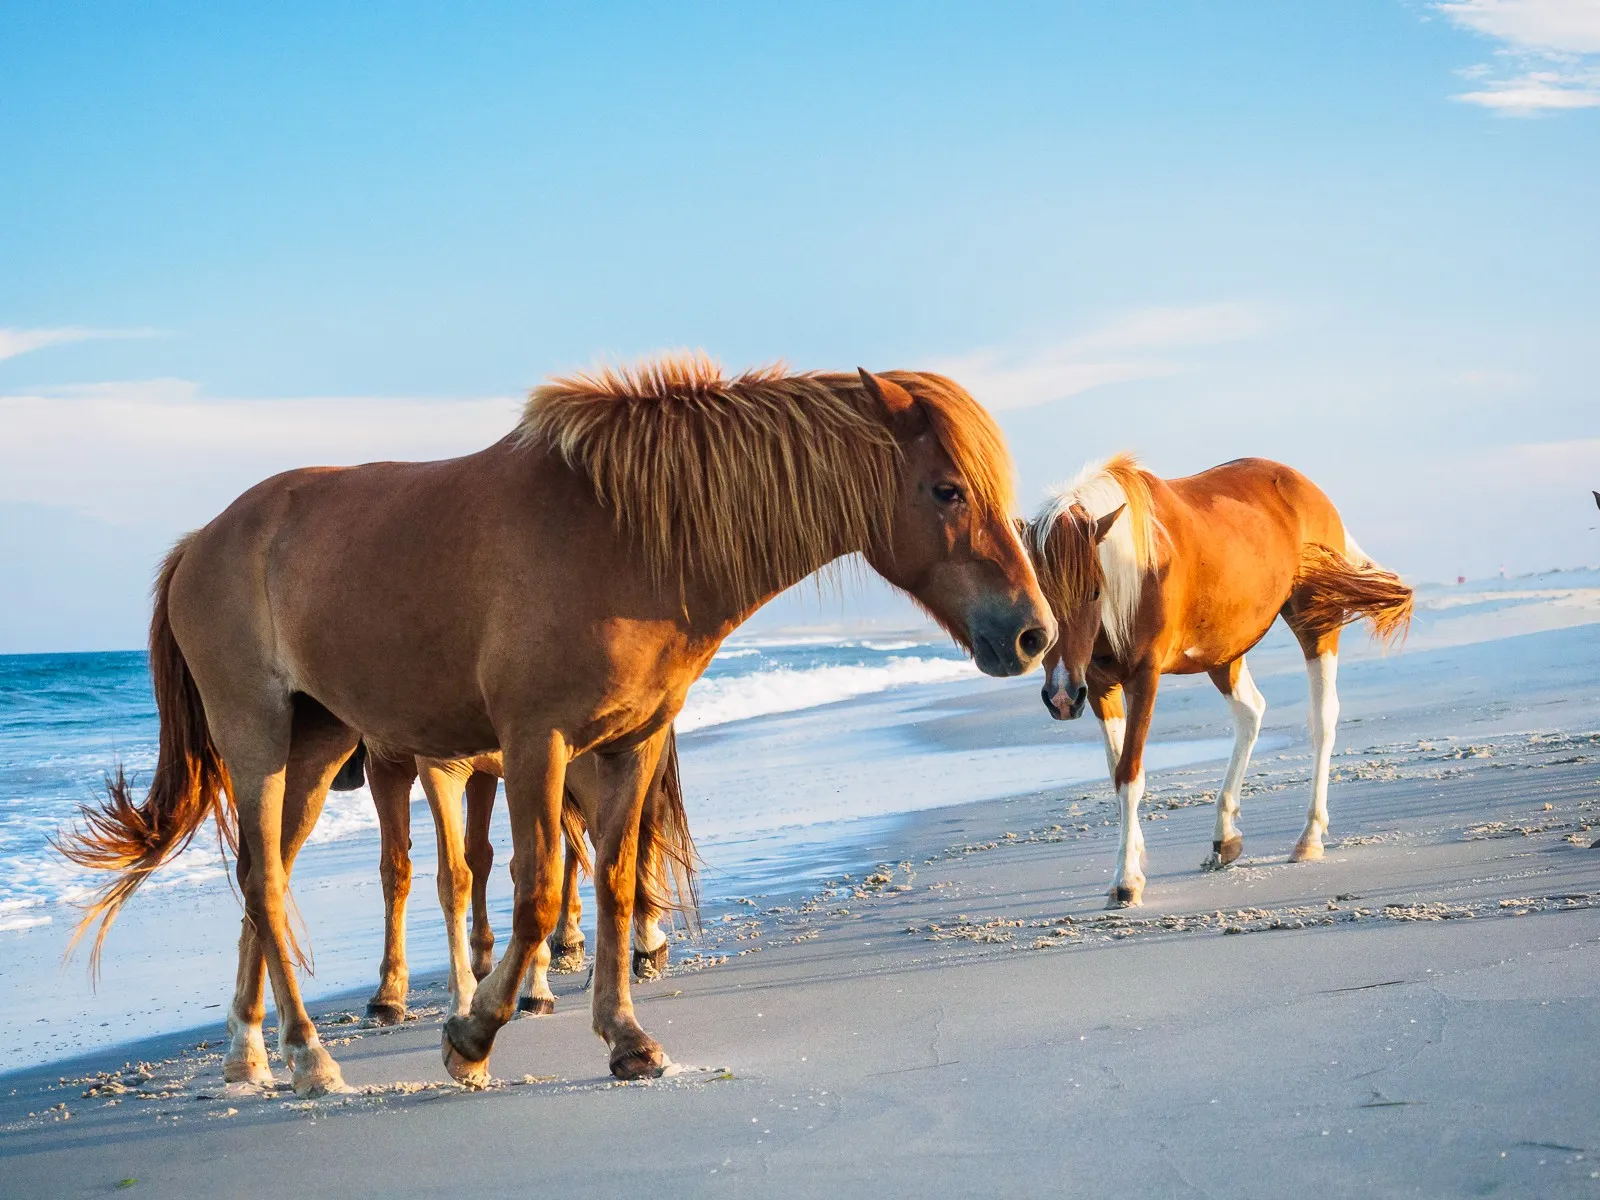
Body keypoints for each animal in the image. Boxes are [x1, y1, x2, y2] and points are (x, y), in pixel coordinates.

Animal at [1024, 454, 1414, 908]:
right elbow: (1115, 771)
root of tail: (1306, 486)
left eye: (1092, 591)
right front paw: (1133, 859)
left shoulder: (1143, 678)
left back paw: (1309, 837)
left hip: (1315, 619)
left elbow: (1129, 773)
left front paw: (1126, 880)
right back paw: (1226, 837)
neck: (1135, 571)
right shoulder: (1099, 685)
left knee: (1322, 718)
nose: (1061, 697)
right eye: (1040, 596)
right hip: (1223, 651)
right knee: (1251, 713)